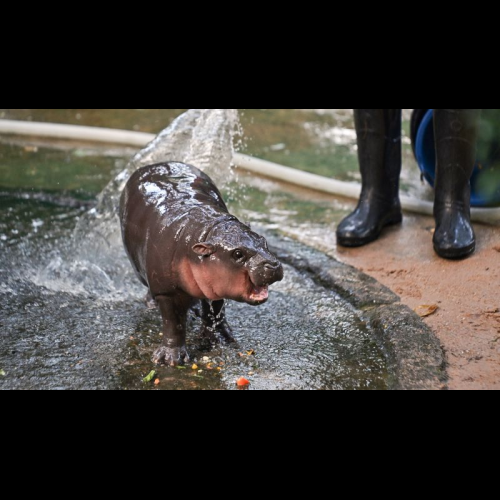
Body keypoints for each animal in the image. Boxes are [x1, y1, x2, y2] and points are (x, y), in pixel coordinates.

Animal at [119, 162, 284, 366]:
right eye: (238, 253)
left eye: (263, 240)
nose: (273, 264)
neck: (206, 232)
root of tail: (155, 164)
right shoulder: (167, 291)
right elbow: (174, 323)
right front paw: (170, 359)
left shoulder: (215, 284)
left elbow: (216, 310)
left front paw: (221, 339)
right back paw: (151, 304)